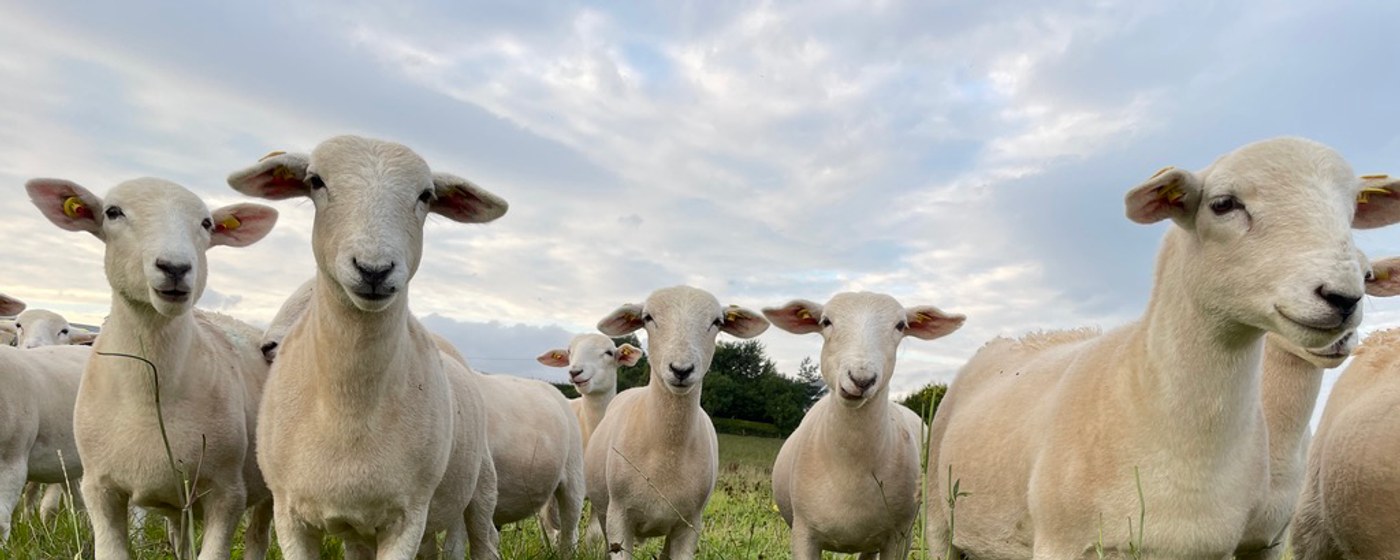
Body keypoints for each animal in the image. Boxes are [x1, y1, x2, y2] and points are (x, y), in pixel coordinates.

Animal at [26, 177, 279, 560]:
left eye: (207, 223)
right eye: (113, 212)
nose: (175, 267)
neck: (149, 394)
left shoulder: (227, 493)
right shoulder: (99, 489)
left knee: (257, 538)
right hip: (177, 501)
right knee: (180, 539)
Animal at [227, 135, 504, 559]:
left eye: (426, 195)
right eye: (315, 181)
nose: (374, 269)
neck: (348, 408)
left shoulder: (408, 516)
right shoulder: (290, 514)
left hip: (480, 485)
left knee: (483, 538)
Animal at [587, 286, 769, 559]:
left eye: (717, 322)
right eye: (648, 317)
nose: (681, 369)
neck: (667, 447)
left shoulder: (689, 524)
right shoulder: (618, 516)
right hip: (603, 510)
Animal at [764, 292, 963, 559]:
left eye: (901, 325)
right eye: (826, 321)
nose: (861, 379)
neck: (851, 470)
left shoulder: (899, 537)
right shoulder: (803, 533)